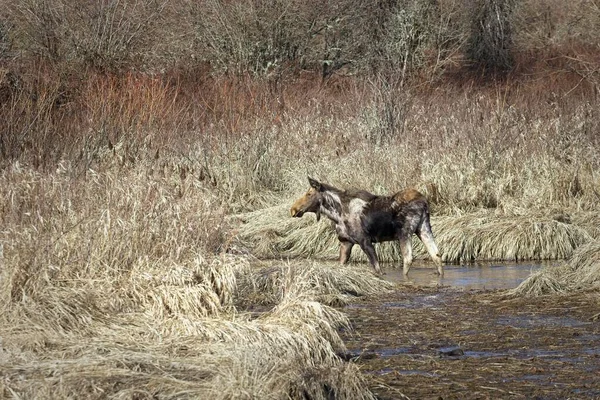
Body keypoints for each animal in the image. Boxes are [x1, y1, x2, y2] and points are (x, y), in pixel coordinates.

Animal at [288, 177, 442, 276]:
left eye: (309, 194)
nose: (293, 209)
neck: (336, 214)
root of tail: (424, 202)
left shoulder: (365, 241)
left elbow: (378, 269)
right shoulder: (345, 242)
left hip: (405, 232)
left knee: (408, 258)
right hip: (424, 229)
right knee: (436, 255)